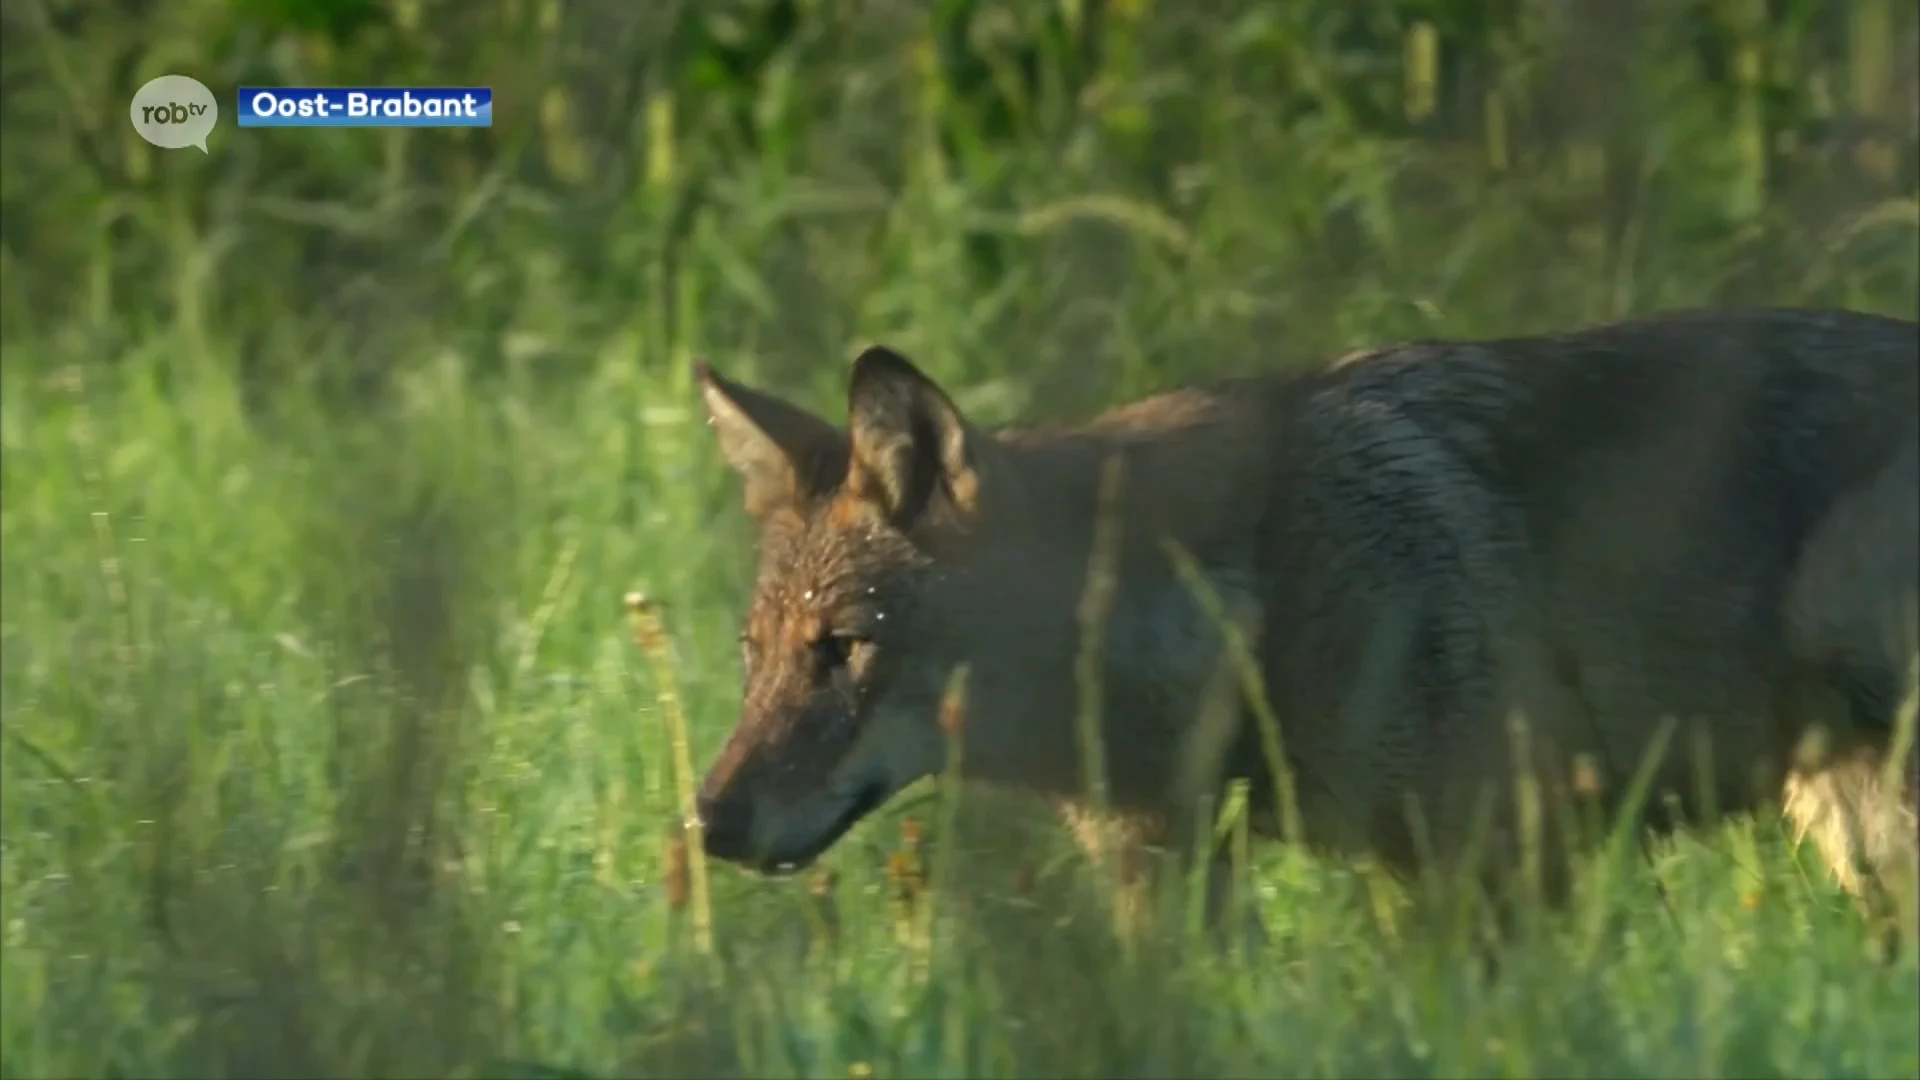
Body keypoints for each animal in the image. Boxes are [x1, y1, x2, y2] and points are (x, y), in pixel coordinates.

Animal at [691, 307, 1920, 937]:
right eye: (756, 659)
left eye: (843, 650)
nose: (706, 822)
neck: (1243, 606)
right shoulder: (1170, 881)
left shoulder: (1507, 854)